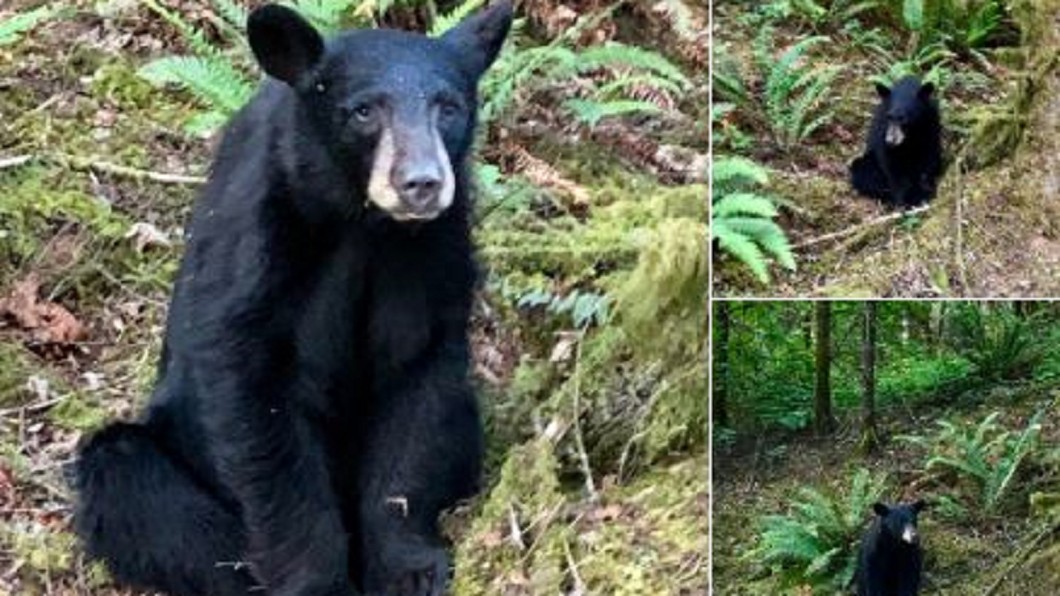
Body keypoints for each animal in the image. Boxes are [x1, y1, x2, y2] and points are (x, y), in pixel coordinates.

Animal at [71, 3, 512, 596]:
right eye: (363, 111)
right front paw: (318, 580)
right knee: (128, 479)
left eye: (449, 107)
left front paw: (408, 567)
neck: (363, 224)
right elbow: (258, 410)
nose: (421, 183)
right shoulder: (260, 242)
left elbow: (419, 387)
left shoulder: (433, 254)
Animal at [850, 76, 942, 208]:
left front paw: (923, 193)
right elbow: (890, 164)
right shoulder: (883, 128)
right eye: (889, 117)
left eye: (903, 118)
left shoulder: (931, 122)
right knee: (862, 169)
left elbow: (929, 157)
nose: (890, 140)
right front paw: (902, 199)